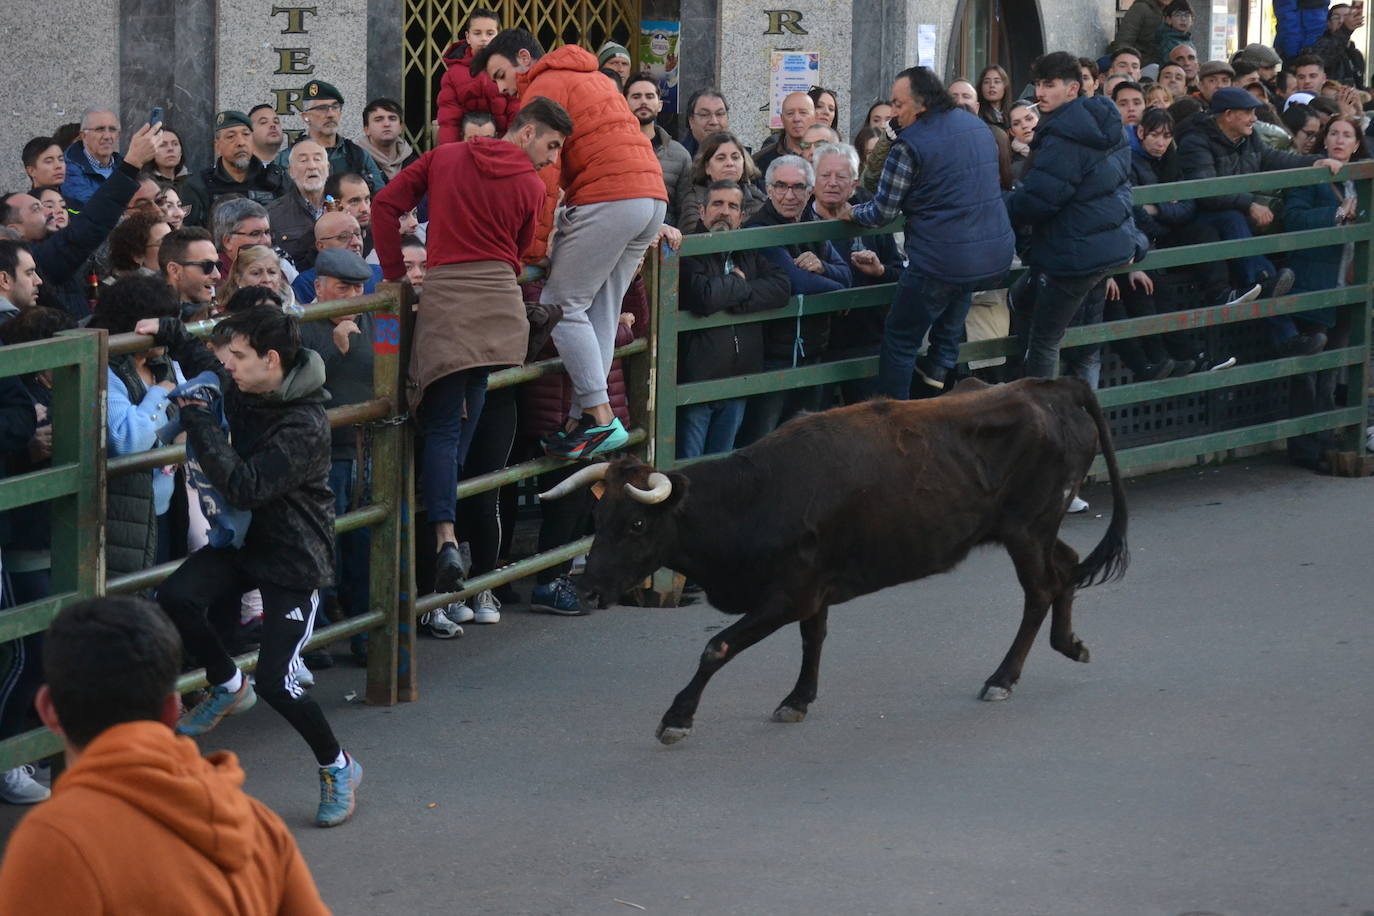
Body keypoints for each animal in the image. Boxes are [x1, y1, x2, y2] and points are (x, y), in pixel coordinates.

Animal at [535, 379, 1126, 747]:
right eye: (597, 519)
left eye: (636, 525)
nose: (587, 589)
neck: (756, 496)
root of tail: (1048, 386)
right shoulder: (813, 590)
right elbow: (813, 639)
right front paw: (798, 699)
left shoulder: (788, 593)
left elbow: (717, 646)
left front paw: (677, 718)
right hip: (1036, 529)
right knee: (1067, 567)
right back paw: (1069, 644)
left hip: (1027, 529)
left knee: (1041, 590)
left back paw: (1003, 677)